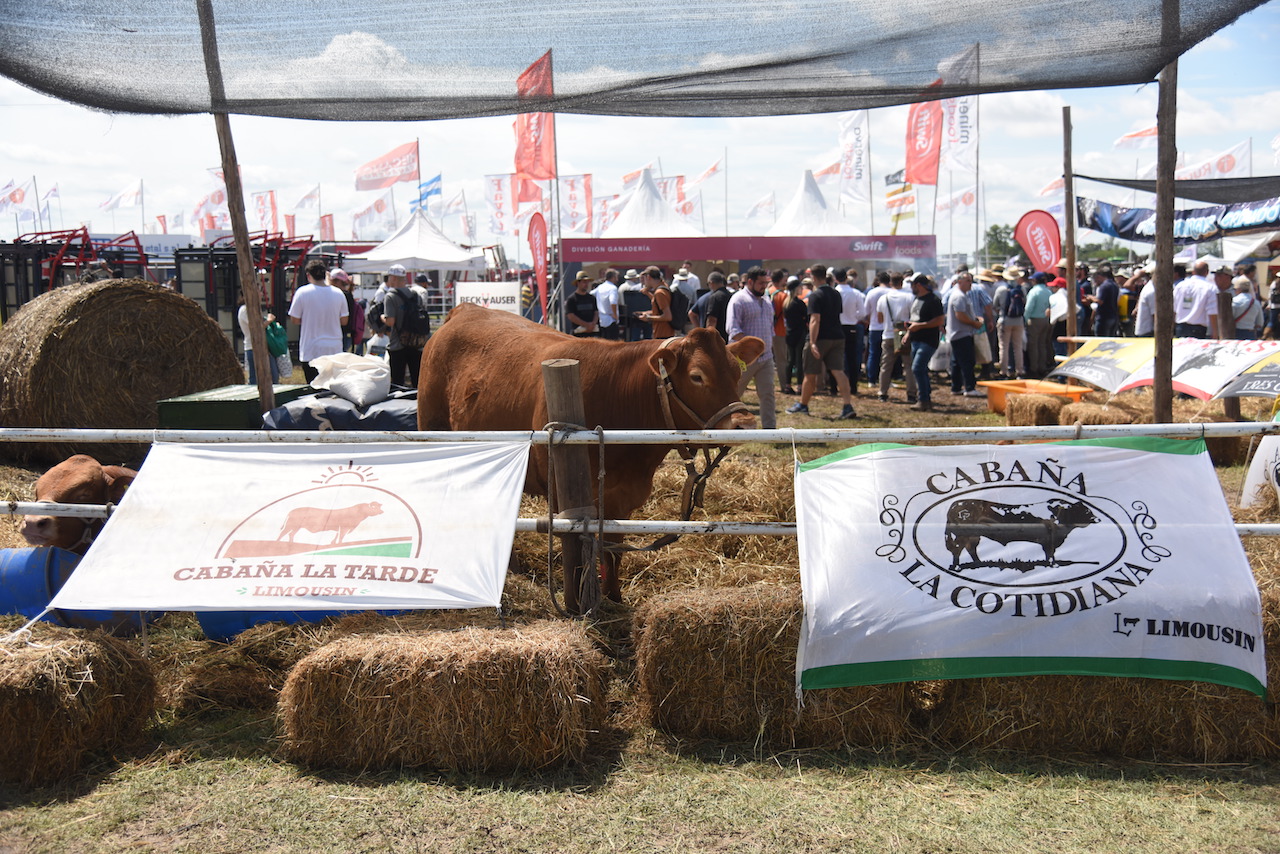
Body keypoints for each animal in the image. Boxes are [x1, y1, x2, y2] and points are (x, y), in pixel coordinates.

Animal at [419, 303, 762, 612]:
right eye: (697, 376)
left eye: (736, 371)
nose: (745, 422)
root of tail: (465, 309)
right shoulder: (564, 498)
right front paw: (578, 605)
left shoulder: (622, 499)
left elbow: (613, 549)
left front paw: (613, 599)